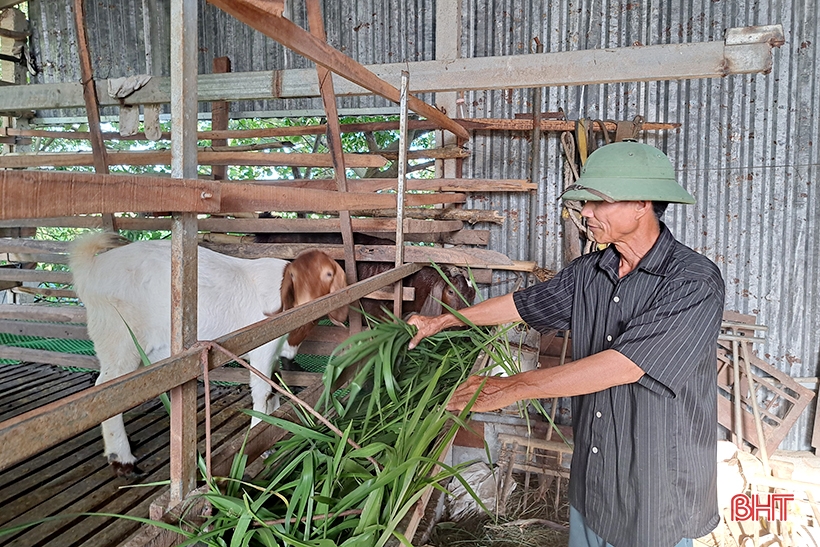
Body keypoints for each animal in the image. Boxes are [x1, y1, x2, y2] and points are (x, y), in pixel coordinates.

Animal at [71, 233, 350, 478]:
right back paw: (122, 460)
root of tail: (92, 268)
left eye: (329, 274)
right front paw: (261, 438)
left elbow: (274, 391)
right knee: (106, 389)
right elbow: (262, 393)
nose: (306, 303)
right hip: (119, 337)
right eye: (293, 277)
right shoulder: (263, 349)